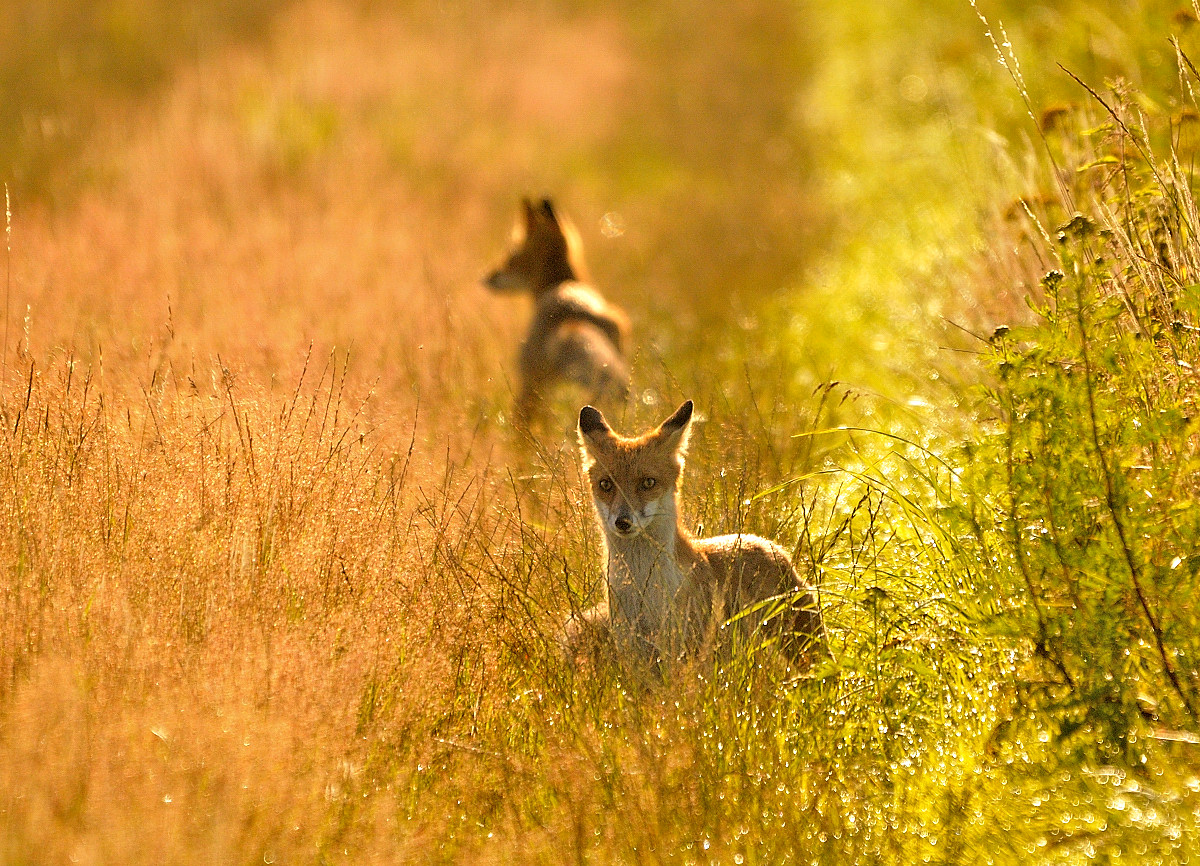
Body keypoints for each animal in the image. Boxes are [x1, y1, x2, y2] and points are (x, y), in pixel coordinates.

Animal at [482, 196, 633, 424]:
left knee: (521, 420)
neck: (561, 283)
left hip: (530, 384)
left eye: (511, 256)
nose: (486, 278)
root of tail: (575, 315)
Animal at [568, 400, 825, 666]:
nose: (623, 522)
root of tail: (767, 544)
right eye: (605, 484)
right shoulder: (635, 655)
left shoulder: (687, 651)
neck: (644, 591)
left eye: (648, 483)